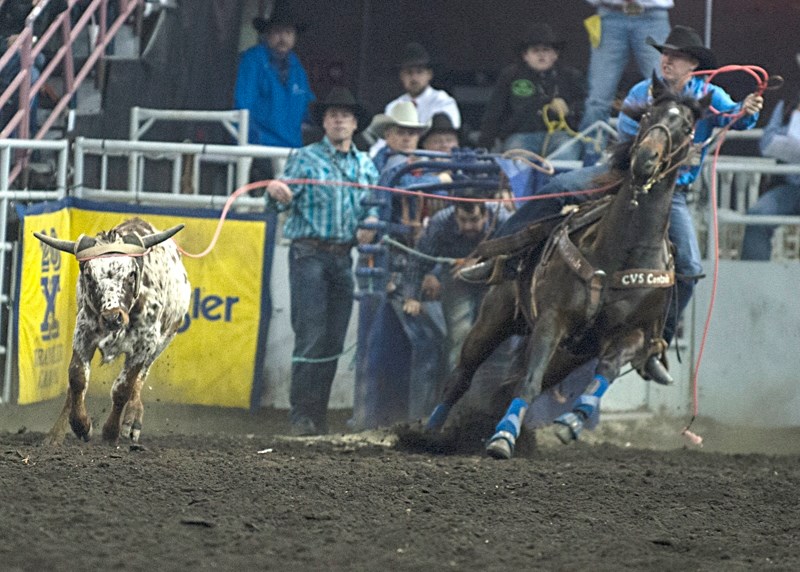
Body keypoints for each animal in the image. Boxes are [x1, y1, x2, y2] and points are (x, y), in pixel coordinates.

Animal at [424, 77, 712, 460]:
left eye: (688, 127)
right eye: (648, 115)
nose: (645, 160)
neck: (621, 251)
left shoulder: (631, 333)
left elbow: (605, 370)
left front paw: (573, 421)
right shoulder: (553, 318)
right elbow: (529, 382)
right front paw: (503, 438)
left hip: (570, 355)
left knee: (509, 385)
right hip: (495, 318)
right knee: (464, 374)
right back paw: (430, 432)